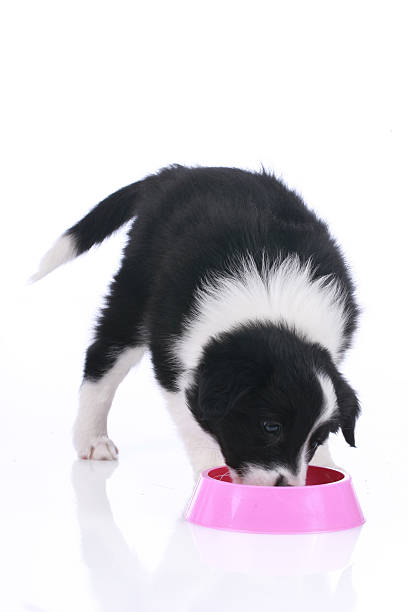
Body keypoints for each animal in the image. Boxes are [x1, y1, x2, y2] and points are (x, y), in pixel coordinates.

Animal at [33, 165, 362, 486]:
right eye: (271, 426)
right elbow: (193, 420)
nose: (287, 488)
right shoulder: (173, 358)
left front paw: (325, 464)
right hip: (135, 290)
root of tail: (176, 173)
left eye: (316, 438)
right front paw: (210, 469)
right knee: (103, 356)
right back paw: (92, 439)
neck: (273, 310)